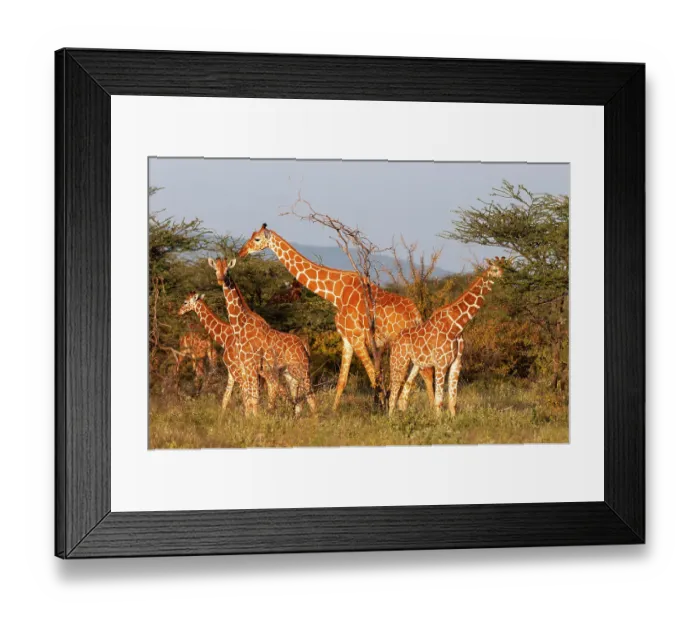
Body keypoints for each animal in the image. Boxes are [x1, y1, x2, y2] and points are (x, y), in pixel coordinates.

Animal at [207, 257, 315, 415]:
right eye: (215, 269)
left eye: (227, 270)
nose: (221, 280)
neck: (240, 325)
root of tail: (304, 346)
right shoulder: (244, 366)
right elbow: (250, 397)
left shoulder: (252, 366)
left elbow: (253, 397)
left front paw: (256, 419)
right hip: (289, 372)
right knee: (298, 397)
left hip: (302, 369)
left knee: (311, 397)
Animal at [239, 224, 435, 410]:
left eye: (256, 239)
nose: (241, 252)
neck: (336, 294)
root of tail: (416, 315)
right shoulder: (347, 339)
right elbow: (342, 380)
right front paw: (334, 412)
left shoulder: (356, 338)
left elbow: (373, 375)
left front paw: (379, 409)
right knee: (423, 372)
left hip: (400, 343)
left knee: (421, 373)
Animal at [388, 258, 507, 417]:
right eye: (494, 270)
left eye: (503, 268)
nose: (504, 278)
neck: (457, 325)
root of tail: (395, 341)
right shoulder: (441, 363)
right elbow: (439, 400)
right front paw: (439, 421)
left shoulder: (456, 362)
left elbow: (453, 400)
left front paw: (452, 419)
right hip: (399, 361)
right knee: (393, 395)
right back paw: (391, 419)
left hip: (415, 364)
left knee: (404, 393)